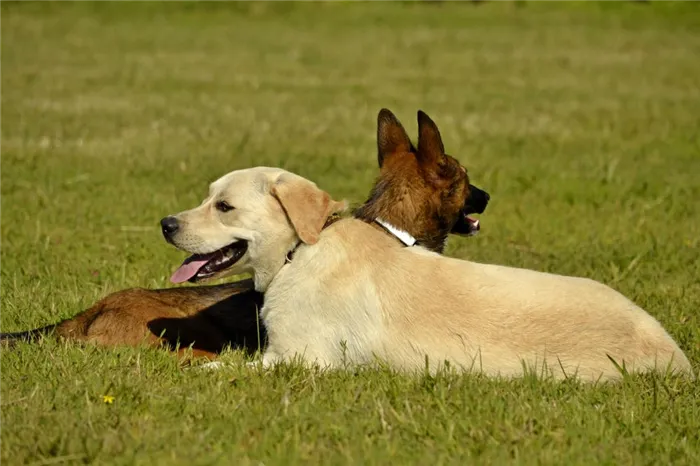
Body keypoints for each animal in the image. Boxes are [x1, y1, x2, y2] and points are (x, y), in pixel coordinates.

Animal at [165, 111, 696, 380]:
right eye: (207, 198)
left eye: (224, 207)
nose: (166, 223)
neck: (301, 252)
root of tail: (677, 359)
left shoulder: (300, 358)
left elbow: (221, 369)